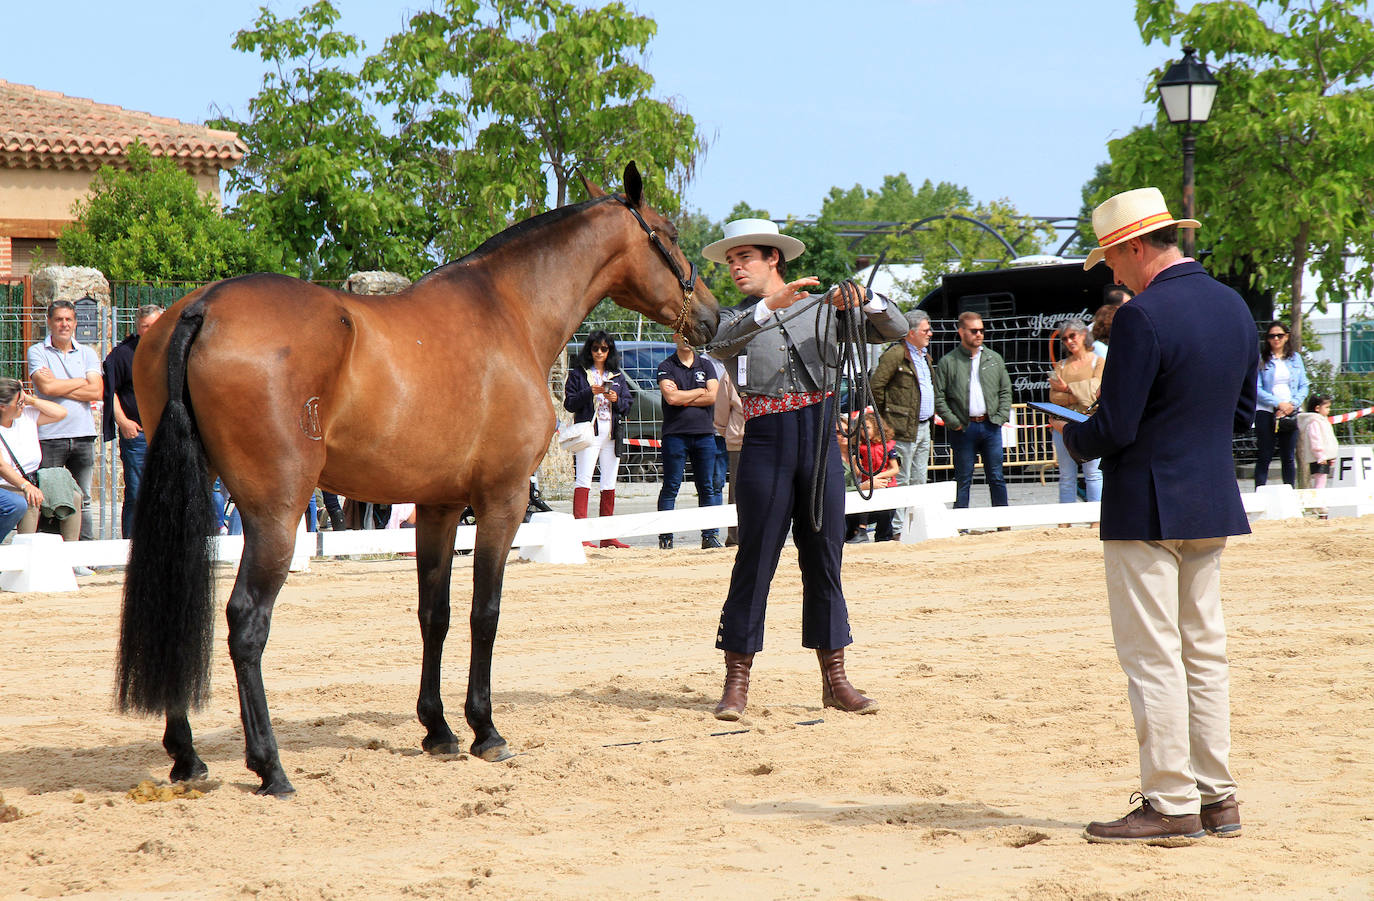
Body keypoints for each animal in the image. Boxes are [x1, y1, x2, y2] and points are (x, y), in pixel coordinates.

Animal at [116, 162, 719, 796]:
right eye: (670, 234)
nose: (711, 316)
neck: (510, 312)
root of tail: (203, 307)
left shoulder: (439, 506)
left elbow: (437, 614)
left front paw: (438, 730)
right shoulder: (502, 500)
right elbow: (485, 612)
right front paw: (485, 731)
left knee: (176, 605)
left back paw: (187, 758)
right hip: (276, 513)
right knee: (246, 622)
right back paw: (270, 765)